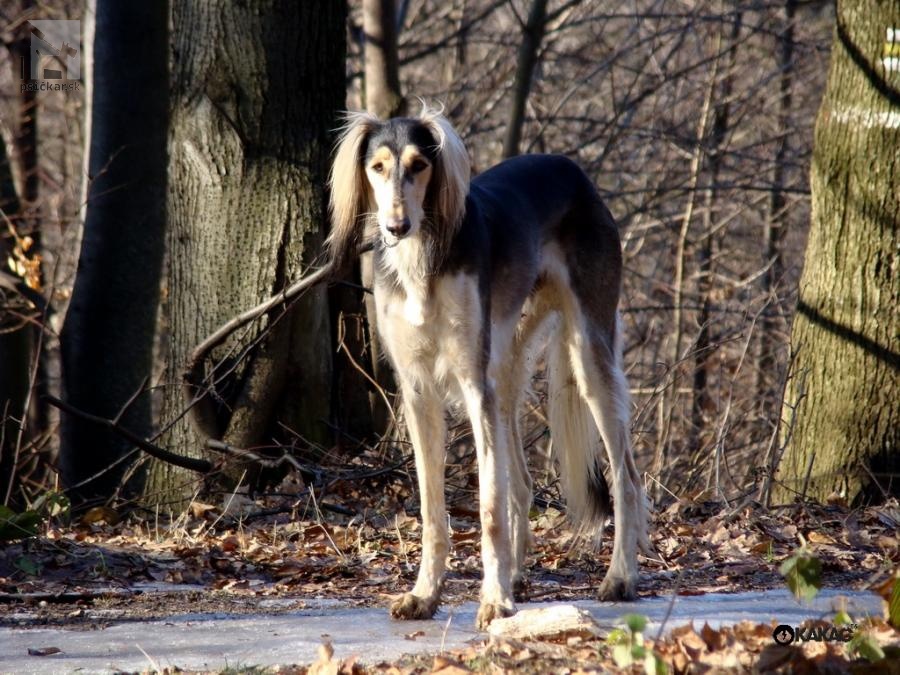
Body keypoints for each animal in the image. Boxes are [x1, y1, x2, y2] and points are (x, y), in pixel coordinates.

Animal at [326, 104, 652, 628]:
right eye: (376, 167)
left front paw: (494, 600)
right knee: (521, 481)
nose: (397, 227)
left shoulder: (473, 383)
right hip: (508, 363)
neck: (422, 260)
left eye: (420, 165)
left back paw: (620, 576)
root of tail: (573, 169)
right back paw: (518, 573)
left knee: (626, 478)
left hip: (586, 353)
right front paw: (425, 593)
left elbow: (489, 504)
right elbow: (432, 507)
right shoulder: (417, 390)